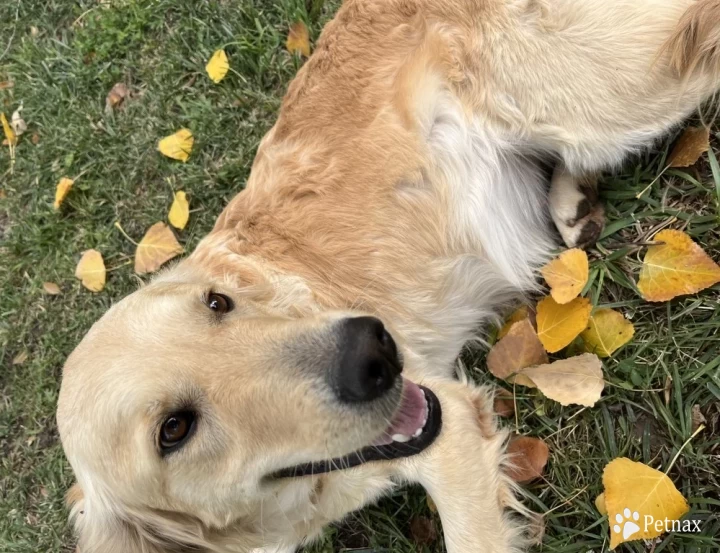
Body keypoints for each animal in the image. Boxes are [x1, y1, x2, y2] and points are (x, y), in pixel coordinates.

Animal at [57, 0, 720, 548]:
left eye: (218, 303)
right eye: (173, 431)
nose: (372, 347)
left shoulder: (449, 428)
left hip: (604, 98)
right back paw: (571, 203)